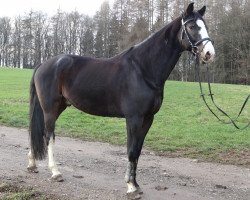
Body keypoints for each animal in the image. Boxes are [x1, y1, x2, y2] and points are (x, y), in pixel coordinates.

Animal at [27, 2, 215, 195]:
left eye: (205, 26)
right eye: (191, 27)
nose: (209, 53)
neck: (143, 69)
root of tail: (44, 64)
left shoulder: (148, 118)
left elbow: (137, 151)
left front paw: (135, 184)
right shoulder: (133, 118)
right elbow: (131, 150)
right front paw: (131, 186)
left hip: (58, 107)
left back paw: (32, 164)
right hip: (50, 109)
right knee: (49, 136)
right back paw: (55, 172)